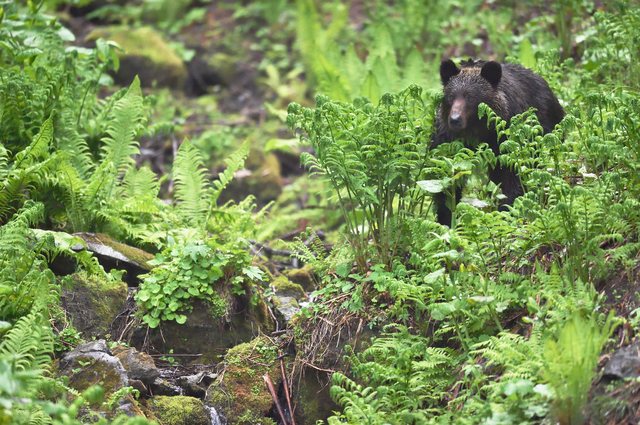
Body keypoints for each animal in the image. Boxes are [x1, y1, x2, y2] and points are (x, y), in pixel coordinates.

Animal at [430, 59, 564, 225]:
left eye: (470, 96)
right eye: (451, 96)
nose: (455, 119)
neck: (479, 130)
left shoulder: (505, 137)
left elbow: (512, 174)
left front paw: (506, 209)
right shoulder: (449, 140)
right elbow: (446, 178)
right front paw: (446, 218)